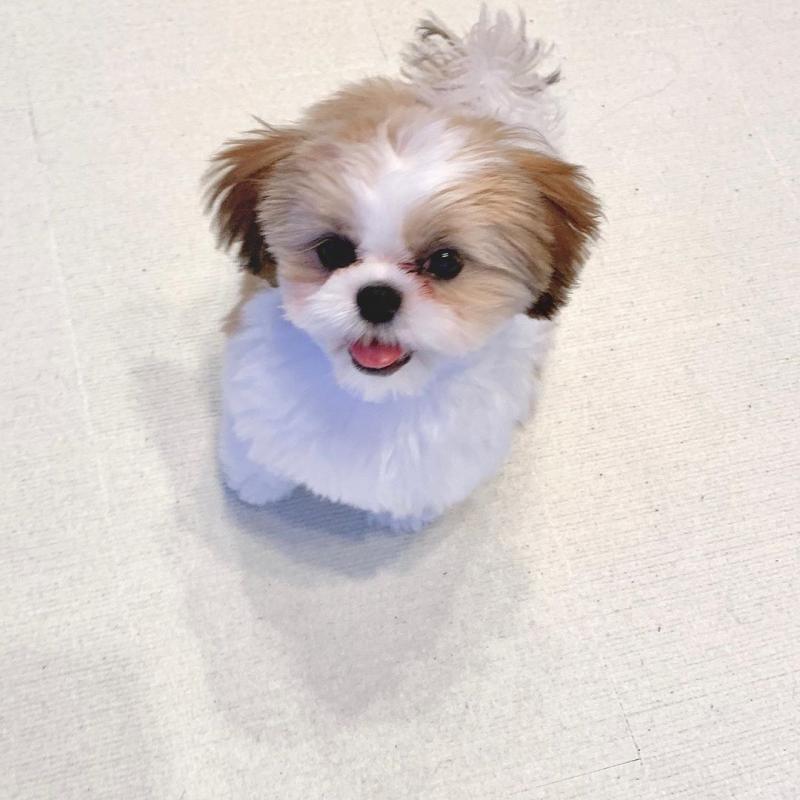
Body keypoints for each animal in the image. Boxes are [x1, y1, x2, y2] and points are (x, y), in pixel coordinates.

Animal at [206, 8, 600, 530]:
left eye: (446, 262)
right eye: (332, 252)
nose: (377, 296)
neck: (376, 397)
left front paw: (407, 518)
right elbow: (256, 448)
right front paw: (254, 483)